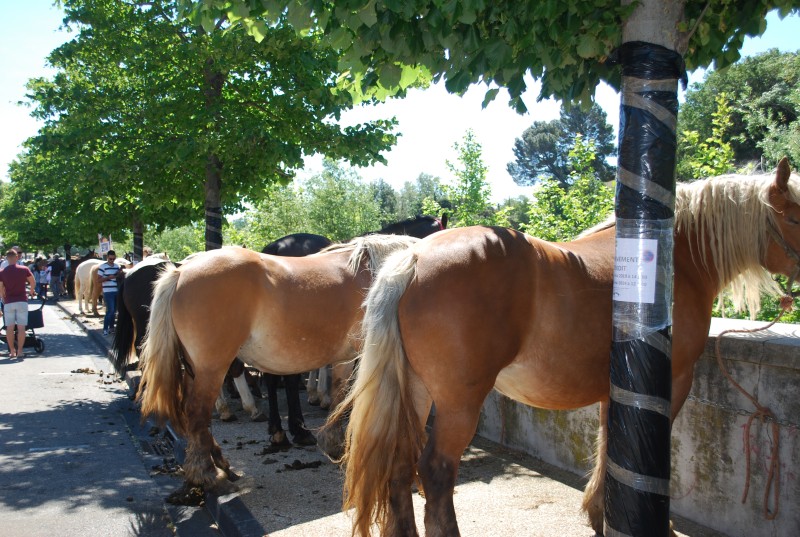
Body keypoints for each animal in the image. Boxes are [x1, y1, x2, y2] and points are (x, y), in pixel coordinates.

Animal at [138, 236, 418, 494]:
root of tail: (181, 271)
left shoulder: (345, 359)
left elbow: (339, 396)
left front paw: (333, 442)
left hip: (195, 370)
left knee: (195, 416)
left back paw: (220, 463)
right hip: (211, 369)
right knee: (197, 413)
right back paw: (205, 472)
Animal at [334, 159, 800, 536]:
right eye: (797, 216)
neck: (676, 260)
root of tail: (412, 261)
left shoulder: (616, 387)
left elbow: (610, 445)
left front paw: (601, 514)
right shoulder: (674, 380)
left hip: (414, 392)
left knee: (399, 467)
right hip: (457, 402)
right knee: (435, 473)